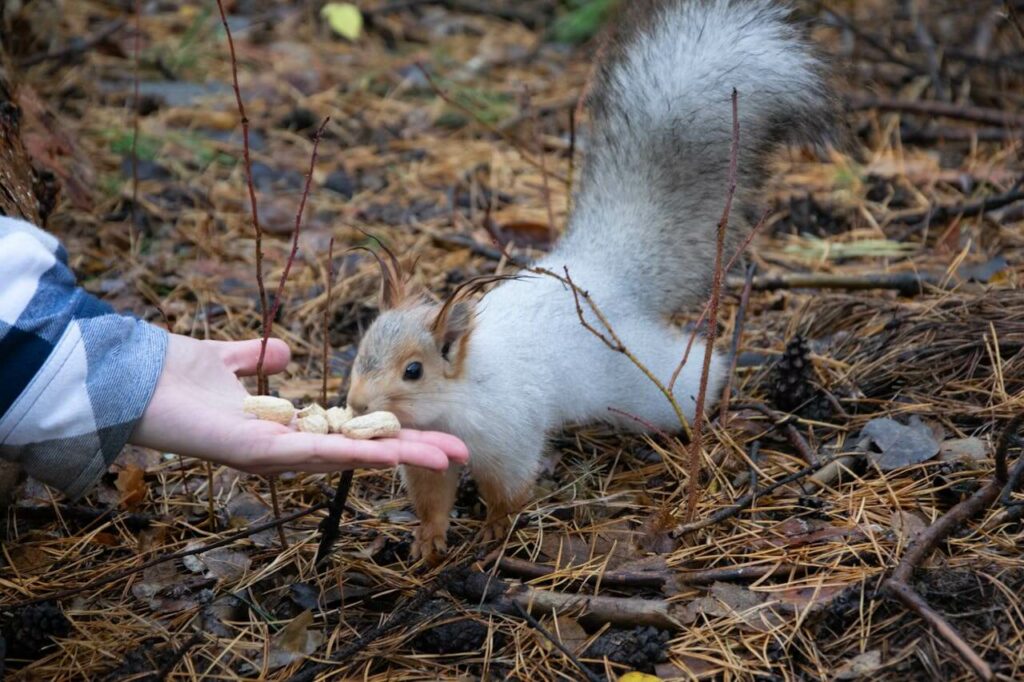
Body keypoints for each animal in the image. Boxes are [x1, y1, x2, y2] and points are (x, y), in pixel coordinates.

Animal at [344, 0, 831, 561]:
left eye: (414, 371)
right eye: (360, 352)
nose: (357, 405)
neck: (451, 404)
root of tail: (602, 274)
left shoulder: (509, 436)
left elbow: (508, 487)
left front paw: (495, 529)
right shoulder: (429, 457)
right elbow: (432, 499)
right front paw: (429, 539)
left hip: (645, 382)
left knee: (689, 382)